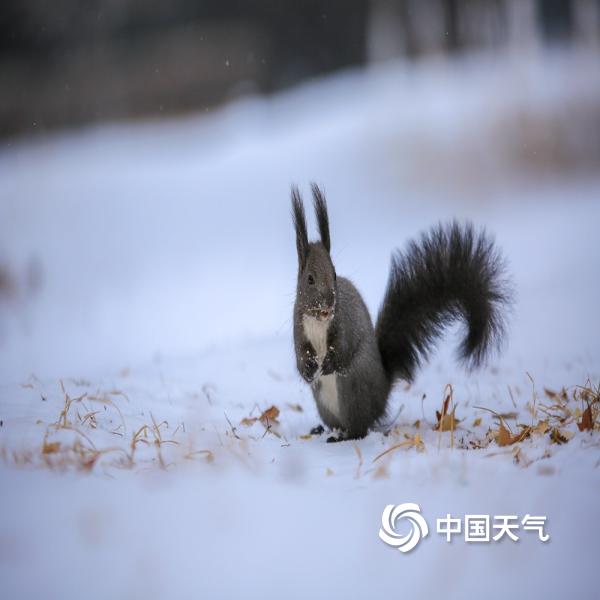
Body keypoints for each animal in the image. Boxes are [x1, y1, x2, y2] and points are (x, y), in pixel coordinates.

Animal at [291, 183, 512, 442]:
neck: (319, 320)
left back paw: (344, 436)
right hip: (326, 404)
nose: (329, 302)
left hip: (352, 388)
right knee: (338, 424)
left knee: (359, 427)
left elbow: (343, 348)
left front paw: (326, 364)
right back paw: (323, 429)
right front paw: (307, 370)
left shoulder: (344, 323)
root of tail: (382, 393)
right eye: (309, 279)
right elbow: (300, 353)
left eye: (334, 274)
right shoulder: (299, 328)